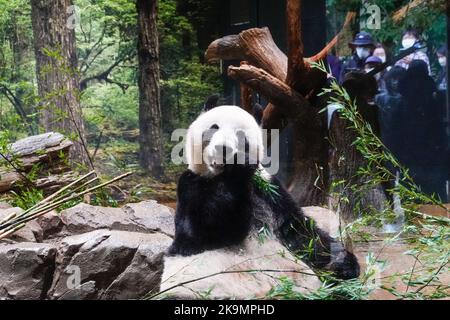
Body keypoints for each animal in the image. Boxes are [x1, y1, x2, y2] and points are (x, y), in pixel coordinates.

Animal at [167, 105, 360, 280]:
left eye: (241, 135)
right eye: (214, 127)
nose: (223, 148)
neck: (218, 176)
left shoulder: (270, 191)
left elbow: (299, 231)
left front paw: (343, 262)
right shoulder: (191, 184)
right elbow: (206, 233)